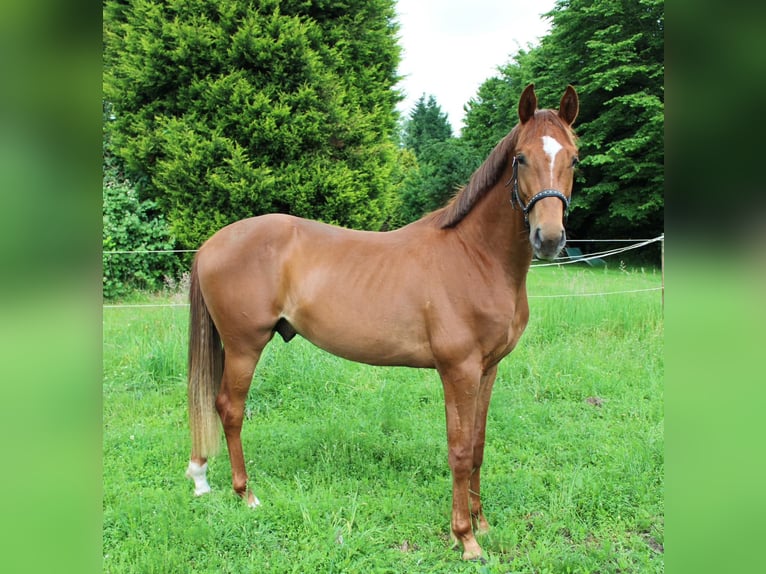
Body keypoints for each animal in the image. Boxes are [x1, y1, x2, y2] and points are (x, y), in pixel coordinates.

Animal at [185, 84, 579, 560]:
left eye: (574, 158)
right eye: (521, 158)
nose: (549, 239)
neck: (475, 257)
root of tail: (211, 244)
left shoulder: (488, 369)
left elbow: (479, 445)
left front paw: (482, 525)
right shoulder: (458, 371)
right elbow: (459, 450)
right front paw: (464, 538)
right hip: (245, 347)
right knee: (230, 409)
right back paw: (246, 494)